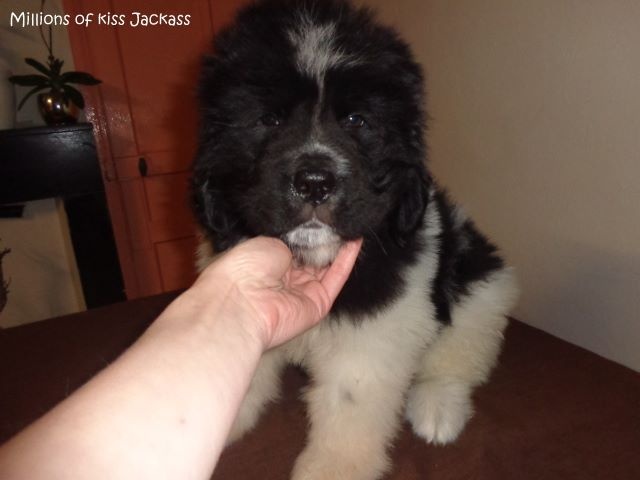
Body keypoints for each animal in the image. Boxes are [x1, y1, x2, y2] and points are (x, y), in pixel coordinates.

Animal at [191, 1, 518, 478]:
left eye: (356, 120)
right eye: (269, 119)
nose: (314, 182)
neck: (312, 257)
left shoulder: (377, 329)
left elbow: (350, 403)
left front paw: (332, 468)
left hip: (479, 287)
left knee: (458, 354)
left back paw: (438, 409)